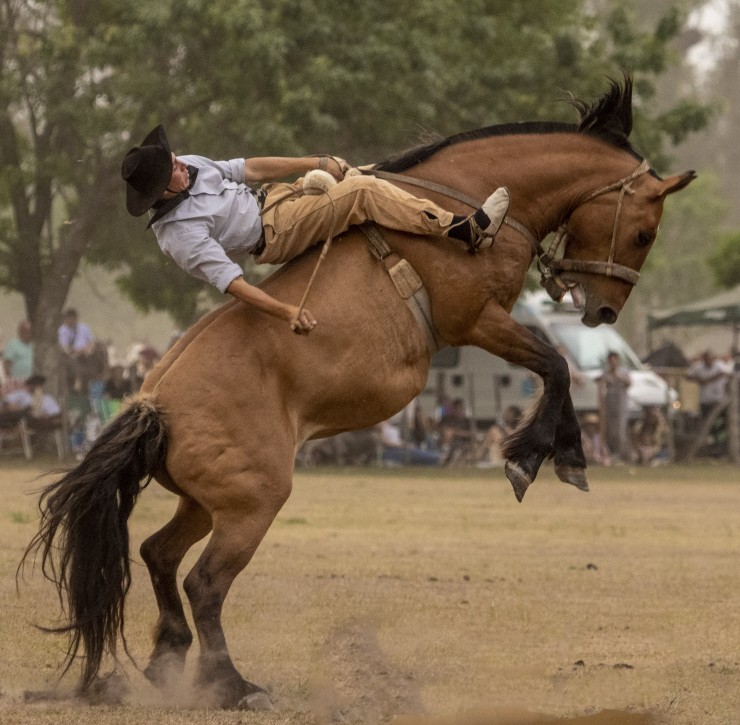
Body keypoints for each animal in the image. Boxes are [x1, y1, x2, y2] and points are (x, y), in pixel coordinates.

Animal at [21, 79, 692, 708]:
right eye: (643, 233)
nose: (603, 311)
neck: (460, 194)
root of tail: (151, 406)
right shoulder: (476, 321)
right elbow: (557, 365)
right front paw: (530, 460)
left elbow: (559, 372)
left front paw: (568, 457)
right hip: (253, 502)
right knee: (204, 583)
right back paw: (234, 685)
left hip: (207, 501)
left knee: (160, 555)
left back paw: (168, 662)